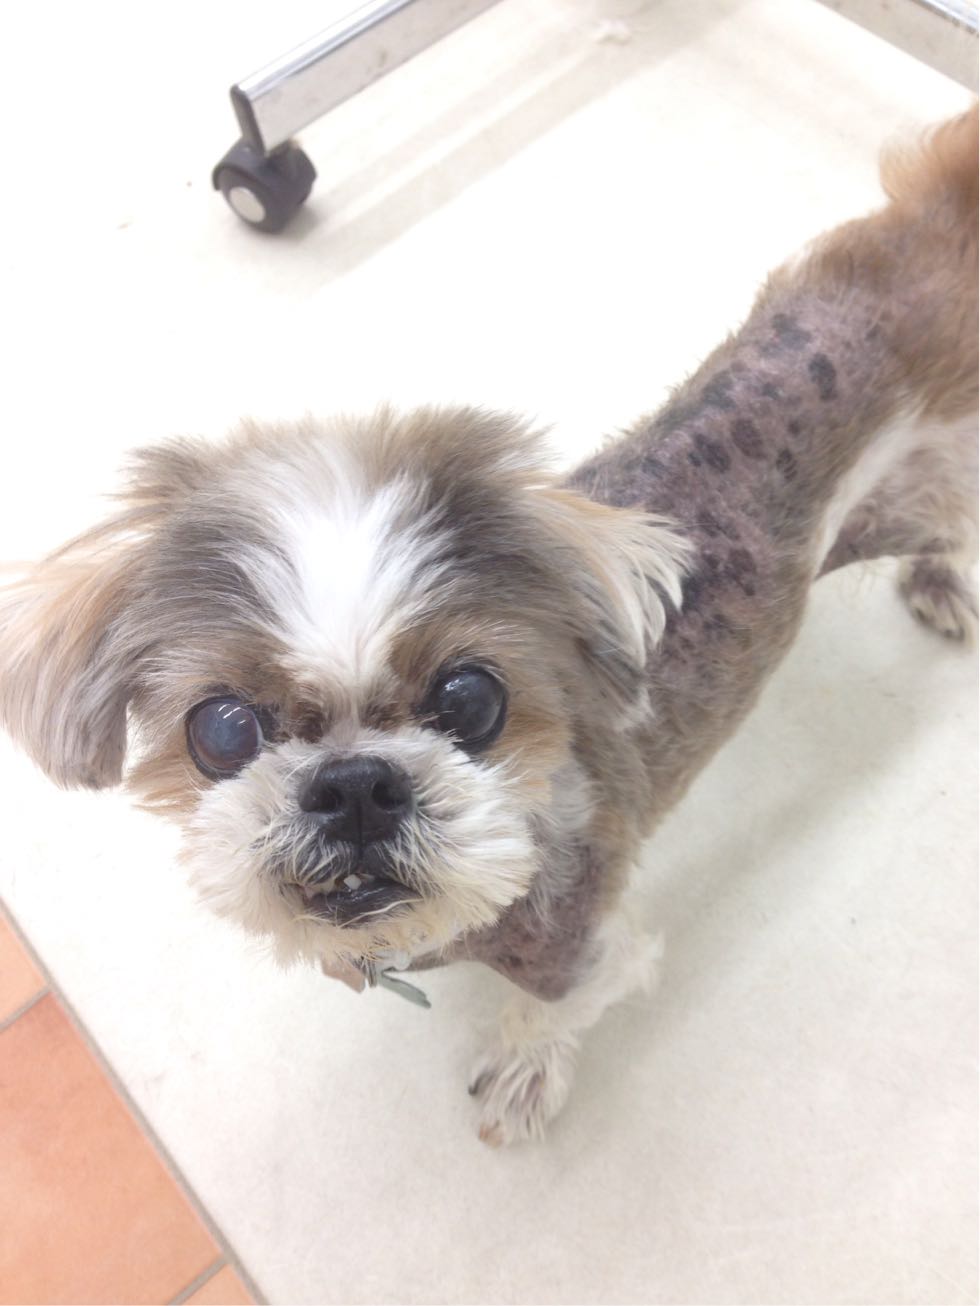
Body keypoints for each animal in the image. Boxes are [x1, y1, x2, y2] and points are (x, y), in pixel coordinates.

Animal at [0, 109, 976, 1146]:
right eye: (220, 729)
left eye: (471, 698)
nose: (353, 785)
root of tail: (938, 213)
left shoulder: (583, 945)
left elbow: (547, 1012)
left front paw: (522, 1071)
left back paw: (942, 580)